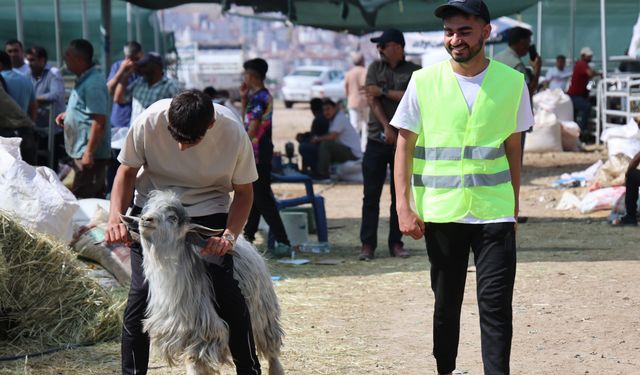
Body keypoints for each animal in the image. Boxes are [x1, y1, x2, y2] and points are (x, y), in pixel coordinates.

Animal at [121, 192, 284, 374]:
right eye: (146, 210)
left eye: (172, 217)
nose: (145, 219)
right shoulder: (184, 331)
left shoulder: (204, 331)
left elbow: (193, 360)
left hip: (264, 313)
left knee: (270, 347)